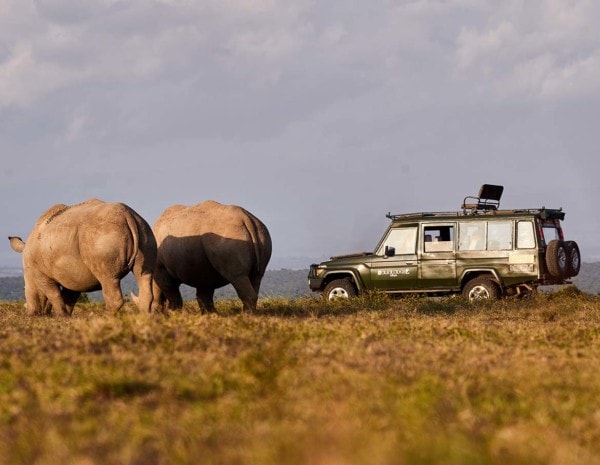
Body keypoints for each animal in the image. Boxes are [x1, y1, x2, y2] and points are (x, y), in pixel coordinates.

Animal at [8, 198, 157, 314]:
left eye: (24, 289)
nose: (30, 313)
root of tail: (128, 215)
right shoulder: (72, 274)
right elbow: (68, 298)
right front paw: (65, 318)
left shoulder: (39, 273)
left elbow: (54, 294)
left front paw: (60, 316)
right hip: (144, 231)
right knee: (144, 274)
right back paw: (145, 318)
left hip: (101, 236)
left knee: (108, 278)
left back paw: (103, 319)